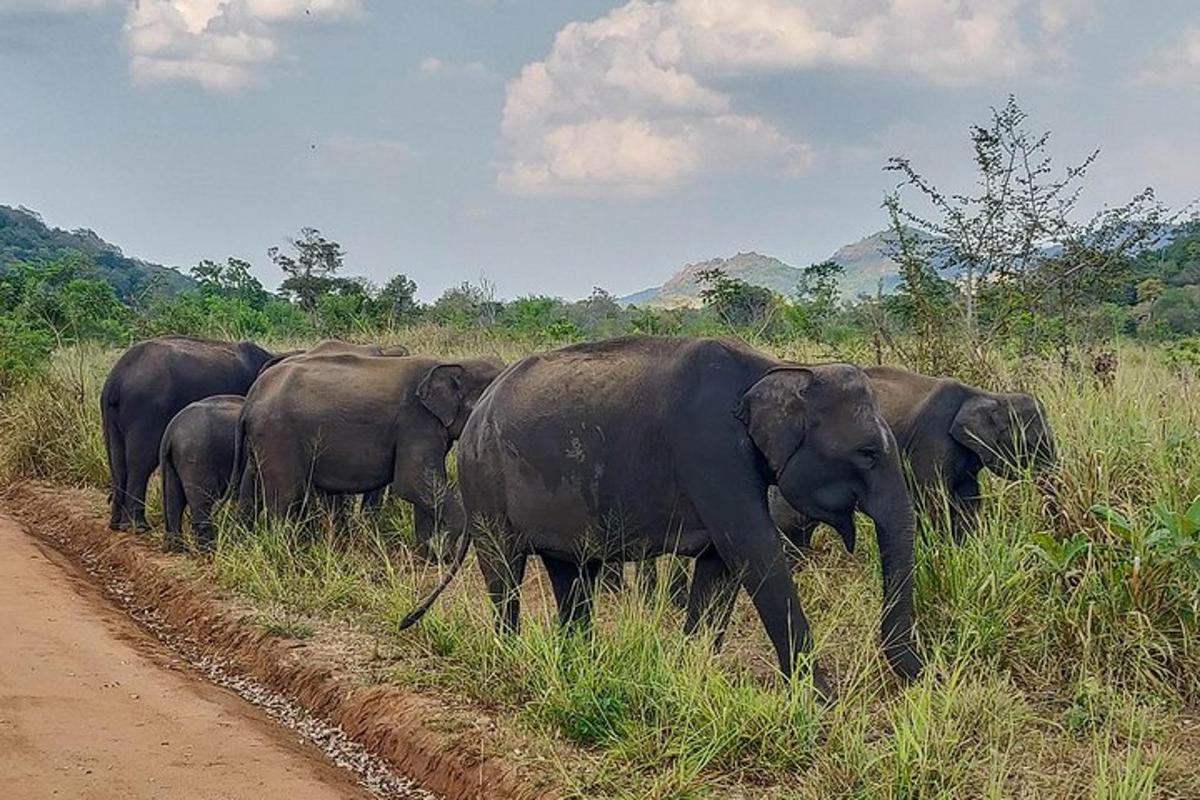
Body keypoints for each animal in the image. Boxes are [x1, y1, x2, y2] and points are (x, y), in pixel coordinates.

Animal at [102, 335, 279, 532]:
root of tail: (116, 379)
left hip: (113, 413)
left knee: (117, 460)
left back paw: (117, 524)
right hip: (146, 408)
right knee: (140, 463)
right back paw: (138, 527)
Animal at [159, 395, 243, 556]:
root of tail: (169, 433)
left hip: (171, 461)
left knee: (174, 500)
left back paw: (177, 549)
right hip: (197, 456)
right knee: (202, 503)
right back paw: (208, 553)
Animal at [236, 350, 504, 556]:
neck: (454, 363)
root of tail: (251, 397)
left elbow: (423, 490)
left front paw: (428, 557)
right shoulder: (416, 422)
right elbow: (412, 483)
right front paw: (443, 554)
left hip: (261, 439)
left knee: (250, 488)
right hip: (278, 434)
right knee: (285, 495)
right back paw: (285, 554)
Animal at [398, 335, 921, 690]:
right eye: (867, 453)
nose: (919, 680)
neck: (779, 369)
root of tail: (478, 413)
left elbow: (720, 567)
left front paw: (693, 673)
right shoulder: (710, 450)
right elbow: (754, 551)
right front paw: (821, 702)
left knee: (571, 572)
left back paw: (580, 663)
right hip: (484, 480)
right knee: (505, 569)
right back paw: (511, 654)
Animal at [768, 367, 1060, 546]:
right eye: (1033, 444)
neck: (986, 395)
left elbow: (968, 500)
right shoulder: (932, 441)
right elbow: (934, 499)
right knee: (793, 520)